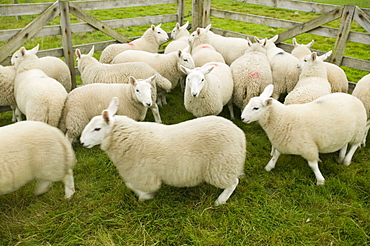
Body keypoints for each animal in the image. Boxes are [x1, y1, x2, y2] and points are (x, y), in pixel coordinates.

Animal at [81, 96, 246, 206]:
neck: (130, 137)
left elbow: (133, 186)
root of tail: (240, 135)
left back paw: (220, 200)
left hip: (222, 166)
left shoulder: (143, 174)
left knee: (233, 182)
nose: (82, 142)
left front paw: (144, 197)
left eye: (97, 129)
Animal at [240, 84, 368, 184]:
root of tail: (353, 97)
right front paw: (269, 167)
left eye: (256, 108)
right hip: (346, 132)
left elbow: (313, 165)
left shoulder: (308, 147)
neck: (282, 118)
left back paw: (346, 160)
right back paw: (341, 157)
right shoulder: (282, 140)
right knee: (345, 144)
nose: (242, 118)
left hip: (358, 130)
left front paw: (320, 180)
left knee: (354, 145)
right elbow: (276, 155)